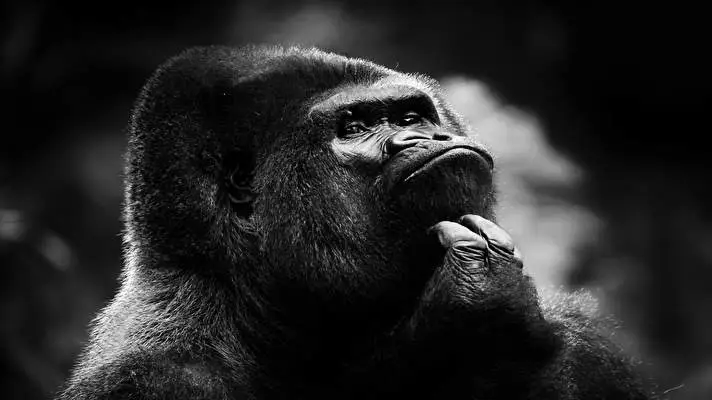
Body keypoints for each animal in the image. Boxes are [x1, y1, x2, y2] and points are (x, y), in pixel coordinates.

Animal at [57, 45, 651, 399]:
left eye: (411, 115)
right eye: (355, 127)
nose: (423, 137)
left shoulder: (580, 337)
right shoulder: (154, 376)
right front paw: (473, 321)